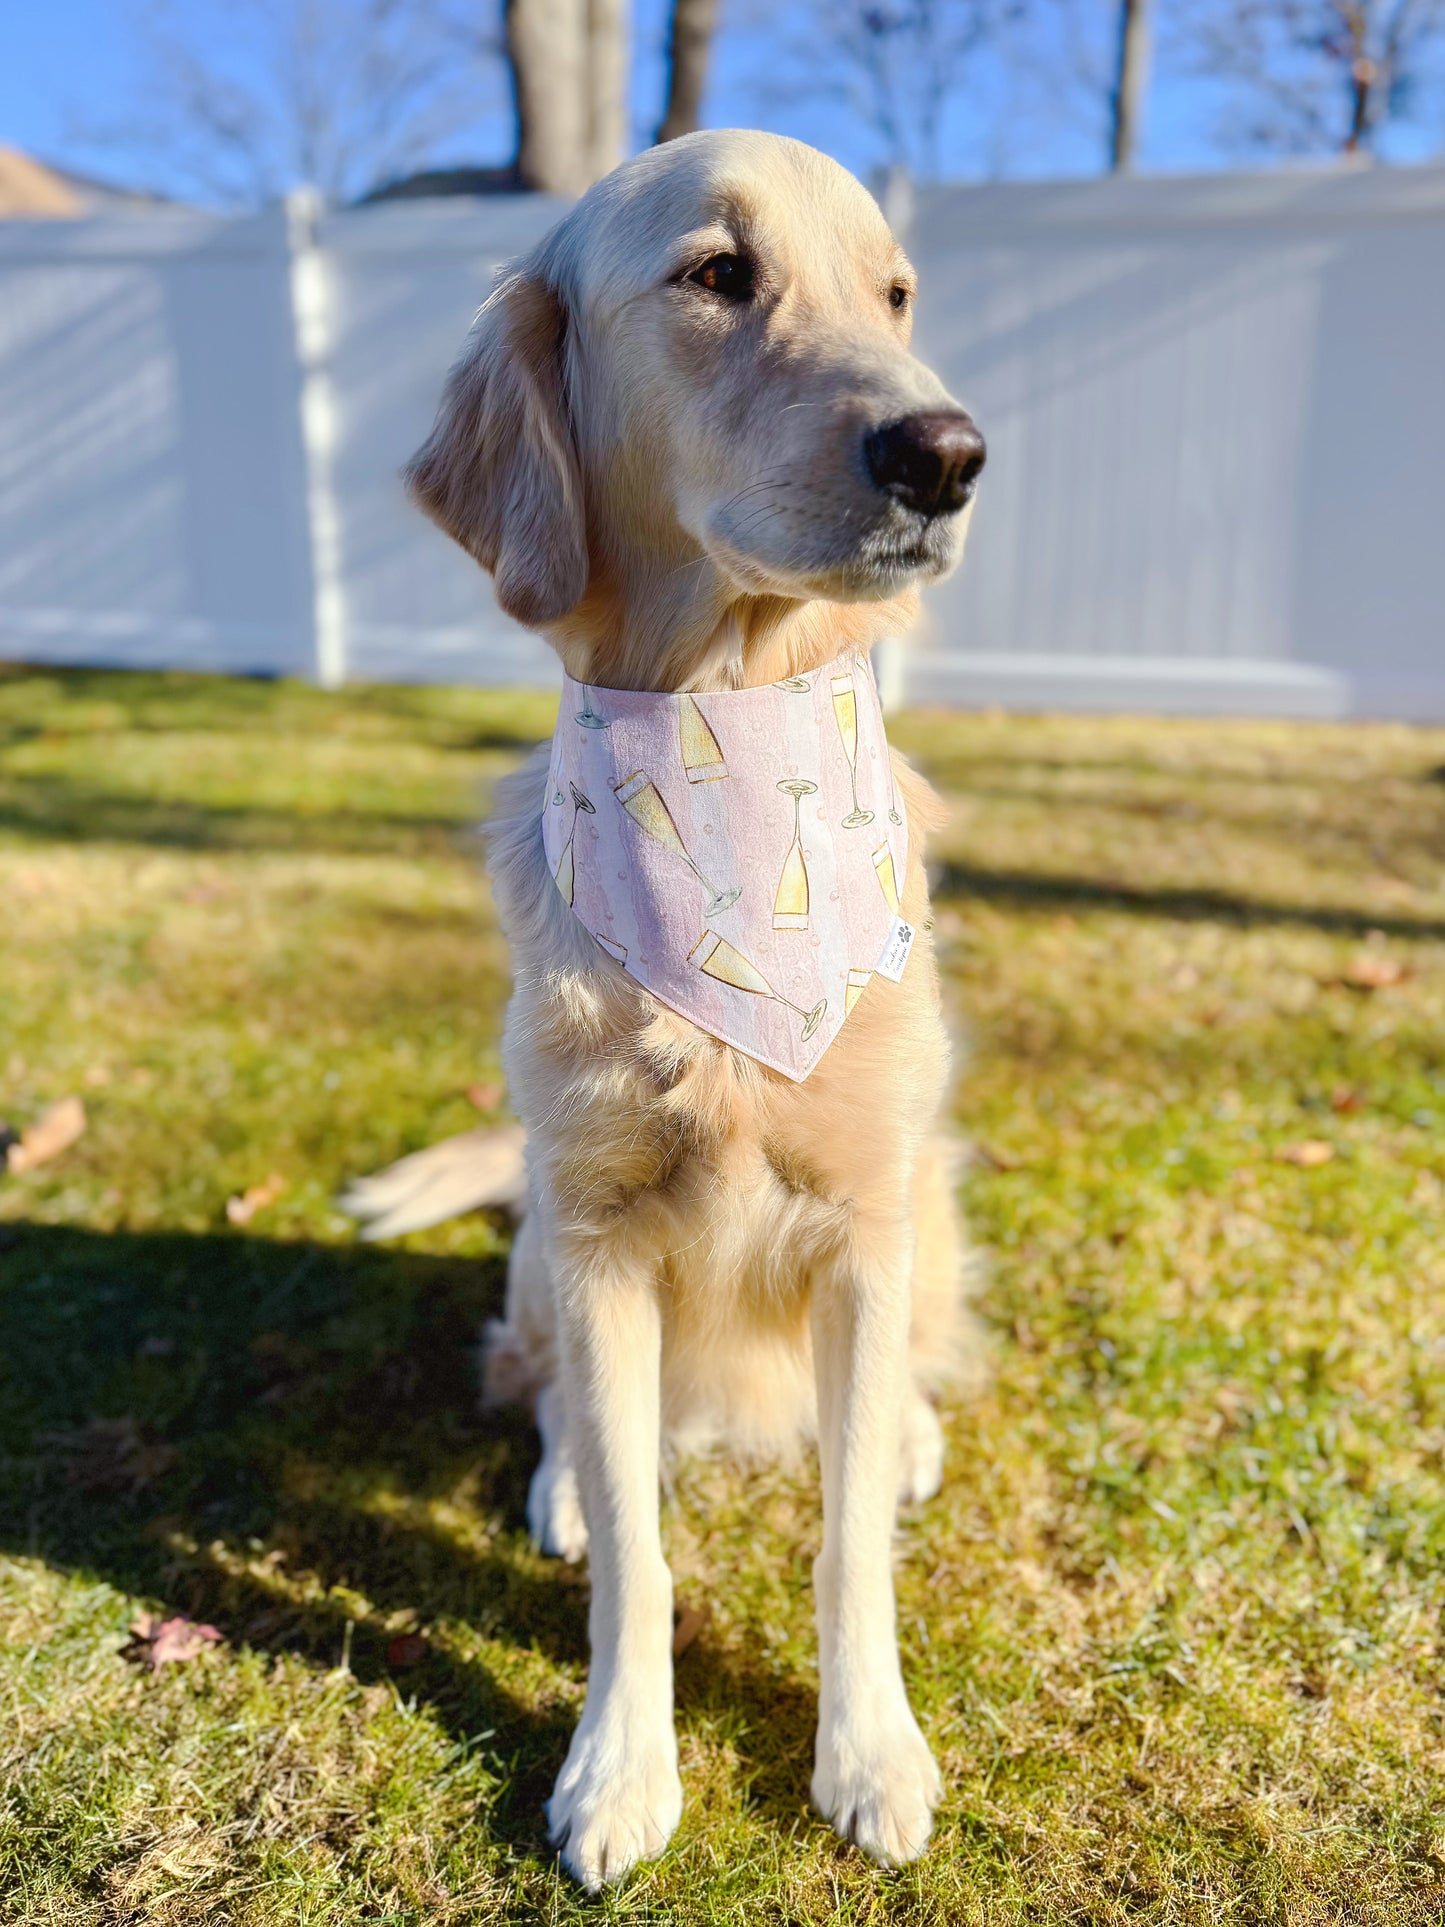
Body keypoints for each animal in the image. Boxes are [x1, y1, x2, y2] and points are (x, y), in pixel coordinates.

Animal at [354, 128, 986, 1888]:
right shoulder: (601, 1234)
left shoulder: (862, 1216)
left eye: (895, 293)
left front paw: (868, 1751)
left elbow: (847, 1545)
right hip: (540, 1229)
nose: (949, 452)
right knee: (559, 1401)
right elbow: (637, 1556)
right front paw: (619, 1767)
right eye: (718, 274)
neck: (725, 739)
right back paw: (569, 1477)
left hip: (931, 1199)